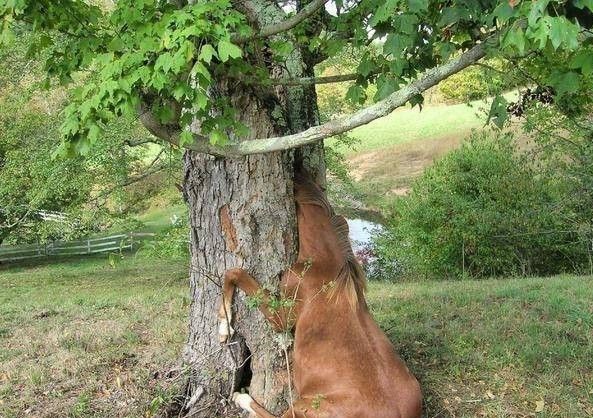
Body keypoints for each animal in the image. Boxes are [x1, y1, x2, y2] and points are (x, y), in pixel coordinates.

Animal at [219, 171, 420, 418]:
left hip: (302, 407)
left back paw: (241, 397)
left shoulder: (282, 319)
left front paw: (224, 327)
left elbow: (233, 273)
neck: (325, 264)